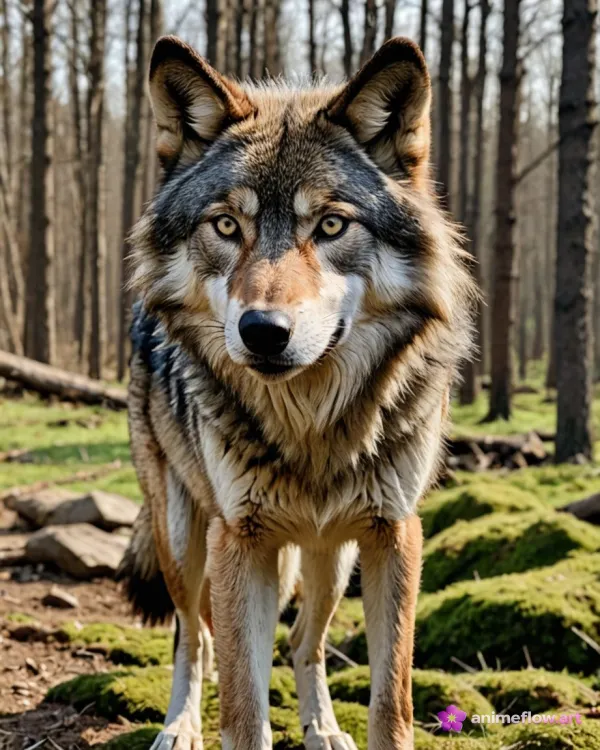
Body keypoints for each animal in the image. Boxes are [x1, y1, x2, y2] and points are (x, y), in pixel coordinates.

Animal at [118, 33, 476, 750]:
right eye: (227, 226)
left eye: (331, 226)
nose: (262, 331)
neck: (311, 426)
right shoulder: (240, 540)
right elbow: (243, 711)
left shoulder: (395, 534)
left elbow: (391, 704)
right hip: (184, 535)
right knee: (193, 635)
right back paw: (179, 726)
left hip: (328, 558)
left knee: (304, 644)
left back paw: (325, 729)